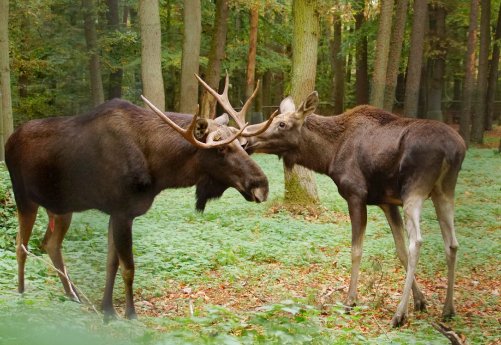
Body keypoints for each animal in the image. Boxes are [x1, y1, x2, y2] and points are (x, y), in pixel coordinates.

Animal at [4, 79, 274, 318]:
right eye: (221, 149)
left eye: (241, 144)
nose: (262, 185)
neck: (160, 168)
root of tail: (8, 142)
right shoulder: (123, 212)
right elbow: (128, 268)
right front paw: (130, 315)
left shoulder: (118, 213)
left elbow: (111, 264)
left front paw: (107, 310)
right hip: (24, 198)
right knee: (20, 244)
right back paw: (21, 295)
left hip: (61, 208)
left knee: (50, 244)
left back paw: (73, 296)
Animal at [199, 74, 464, 326]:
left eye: (282, 123)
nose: (245, 142)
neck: (328, 156)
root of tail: (454, 149)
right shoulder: (387, 201)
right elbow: (399, 251)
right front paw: (420, 301)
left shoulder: (356, 194)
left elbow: (357, 249)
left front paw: (350, 300)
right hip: (444, 190)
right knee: (451, 242)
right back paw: (448, 309)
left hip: (414, 189)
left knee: (417, 242)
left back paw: (399, 315)